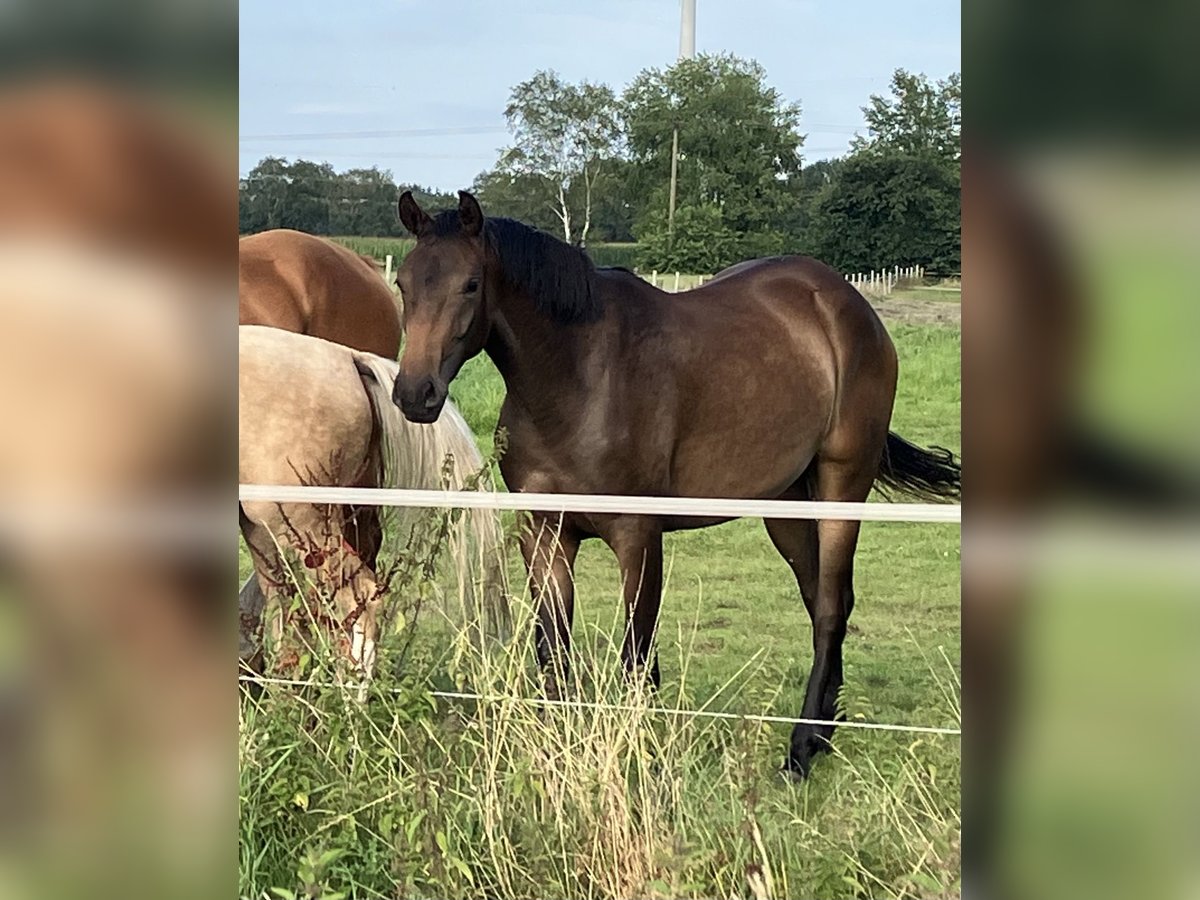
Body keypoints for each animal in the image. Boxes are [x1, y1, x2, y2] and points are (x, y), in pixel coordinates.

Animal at [393, 192, 964, 782]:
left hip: (841, 486)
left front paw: (638, 757)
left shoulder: (637, 537)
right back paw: (826, 730)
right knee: (824, 600)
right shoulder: (545, 536)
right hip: (785, 506)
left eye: (470, 284)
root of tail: (849, 306)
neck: (578, 378)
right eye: (404, 283)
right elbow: (554, 652)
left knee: (830, 607)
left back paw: (802, 748)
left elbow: (638, 657)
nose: (415, 393)